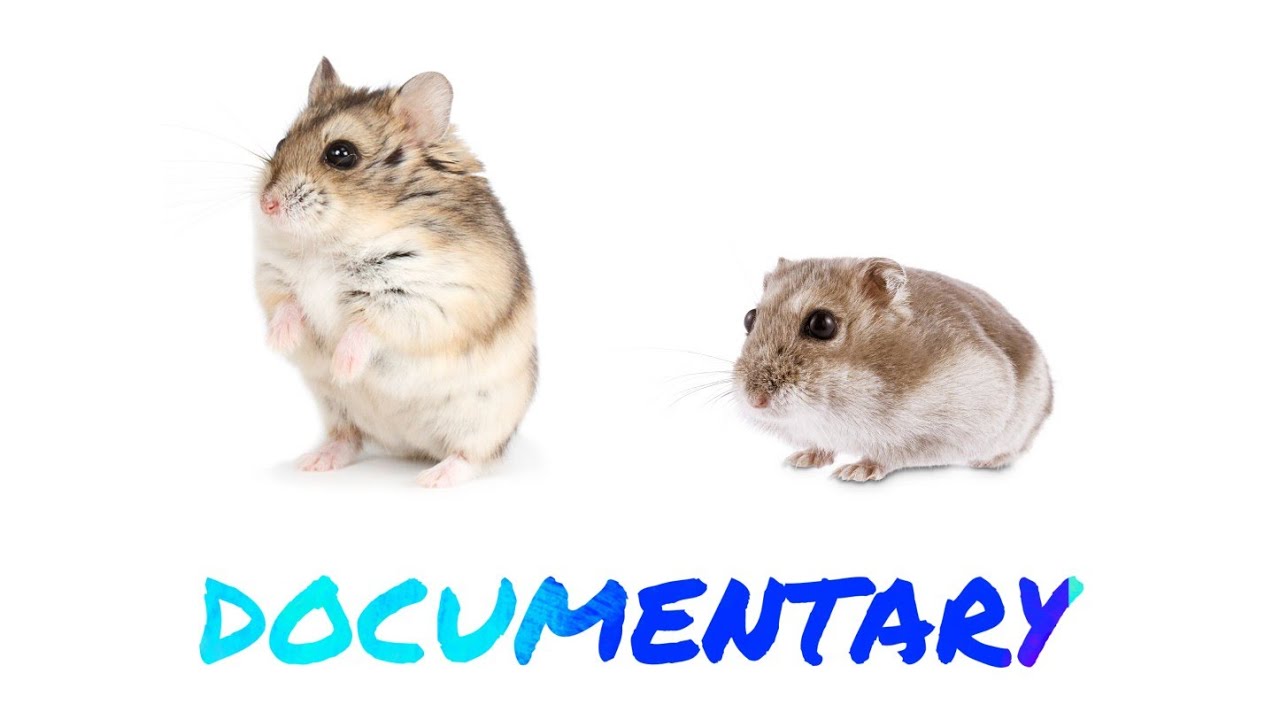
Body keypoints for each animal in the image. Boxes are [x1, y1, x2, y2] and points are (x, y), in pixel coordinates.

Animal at [254, 58, 537, 488]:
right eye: (280, 143)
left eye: (341, 154)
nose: (266, 204)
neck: (330, 242)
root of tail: (410, 445)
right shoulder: (272, 275)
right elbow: (286, 304)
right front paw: (279, 342)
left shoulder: (422, 294)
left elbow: (367, 326)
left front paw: (342, 366)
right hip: (337, 411)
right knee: (349, 439)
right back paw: (314, 462)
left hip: (486, 417)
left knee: (473, 455)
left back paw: (433, 478)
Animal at [734, 257, 1052, 482]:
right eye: (749, 318)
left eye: (822, 324)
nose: (755, 400)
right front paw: (801, 459)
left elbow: (888, 454)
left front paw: (853, 472)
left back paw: (987, 462)